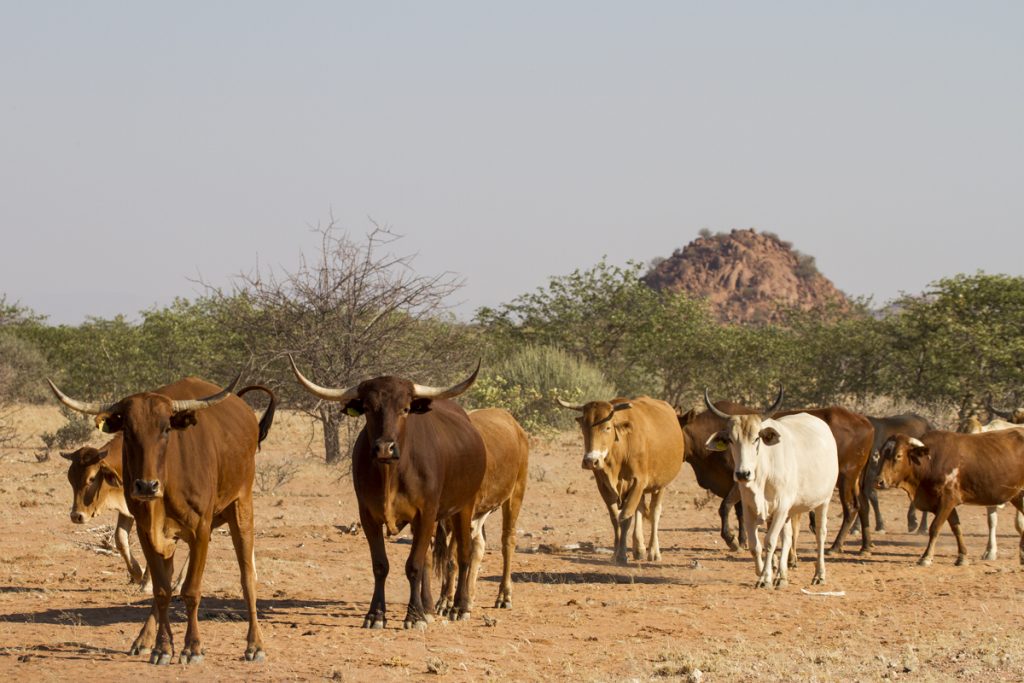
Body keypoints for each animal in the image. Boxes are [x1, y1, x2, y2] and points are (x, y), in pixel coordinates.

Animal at [47, 376, 272, 663]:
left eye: (166, 429)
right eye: (128, 430)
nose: (146, 486)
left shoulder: (200, 529)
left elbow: (191, 590)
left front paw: (192, 647)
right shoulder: (146, 530)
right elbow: (161, 590)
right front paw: (162, 647)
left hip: (241, 506)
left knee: (247, 577)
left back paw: (255, 644)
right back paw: (143, 639)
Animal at [288, 358, 487, 630]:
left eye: (405, 408)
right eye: (368, 408)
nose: (385, 448)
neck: (390, 474)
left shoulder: (425, 514)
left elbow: (413, 565)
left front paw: (413, 617)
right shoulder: (368, 517)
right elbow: (381, 565)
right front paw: (376, 614)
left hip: (464, 507)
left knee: (463, 553)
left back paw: (459, 607)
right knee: (430, 558)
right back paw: (427, 607)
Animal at [557, 395, 684, 565]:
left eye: (607, 427)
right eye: (584, 427)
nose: (591, 461)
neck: (621, 449)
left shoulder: (638, 482)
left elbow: (625, 517)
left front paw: (623, 555)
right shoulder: (603, 485)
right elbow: (615, 518)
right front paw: (615, 553)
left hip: (660, 484)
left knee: (655, 512)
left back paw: (653, 551)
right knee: (640, 509)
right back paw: (639, 549)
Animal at [704, 389, 839, 589]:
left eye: (756, 438)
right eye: (730, 440)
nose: (743, 473)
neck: (762, 474)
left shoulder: (781, 508)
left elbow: (770, 542)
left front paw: (765, 578)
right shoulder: (750, 508)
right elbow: (755, 545)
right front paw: (762, 571)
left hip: (823, 500)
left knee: (820, 534)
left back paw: (819, 575)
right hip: (791, 510)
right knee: (788, 536)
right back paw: (782, 577)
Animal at [876, 432, 1024, 565]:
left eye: (898, 455)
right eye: (882, 454)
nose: (879, 481)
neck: (930, 463)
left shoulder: (947, 500)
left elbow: (935, 527)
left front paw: (926, 557)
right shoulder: (944, 504)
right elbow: (956, 528)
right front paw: (962, 557)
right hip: (1017, 497)